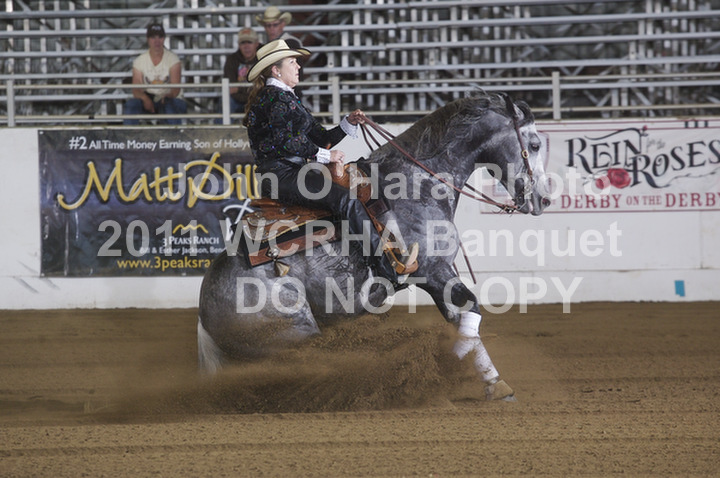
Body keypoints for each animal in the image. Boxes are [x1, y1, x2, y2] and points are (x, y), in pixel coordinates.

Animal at [198, 91, 551, 401]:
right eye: (534, 144)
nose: (543, 199)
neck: (415, 184)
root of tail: (204, 314)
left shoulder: (439, 277)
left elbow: (462, 317)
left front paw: (493, 383)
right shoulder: (433, 271)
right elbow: (472, 311)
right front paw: (459, 365)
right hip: (295, 332)